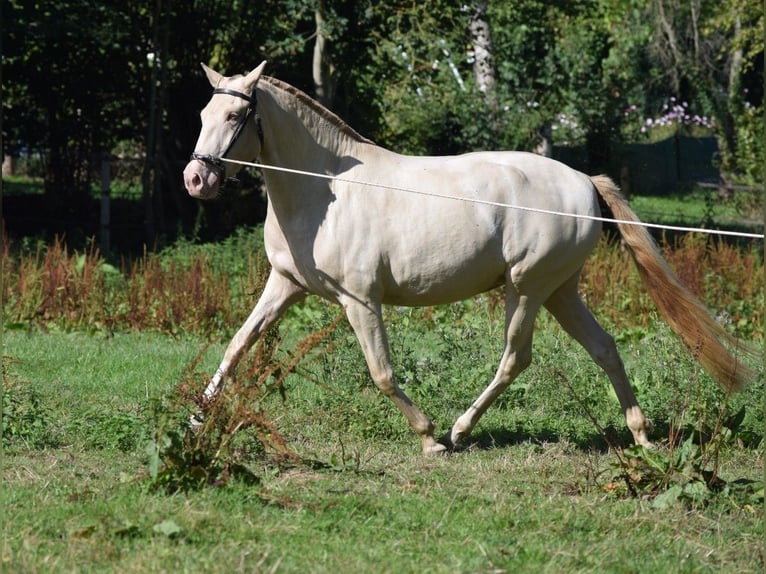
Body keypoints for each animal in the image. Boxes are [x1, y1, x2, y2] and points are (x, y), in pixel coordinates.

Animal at [183, 62, 755, 455]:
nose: (196, 179)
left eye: (236, 115)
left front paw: (428, 437)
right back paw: (641, 437)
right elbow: (237, 345)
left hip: (526, 288)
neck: (324, 190)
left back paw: (459, 430)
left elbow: (381, 372)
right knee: (605, 349)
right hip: (560, 291)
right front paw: (196, 419)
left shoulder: (359, 300)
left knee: (515, 357)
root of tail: (584, 181)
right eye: (203, 114)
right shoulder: (285, 284)